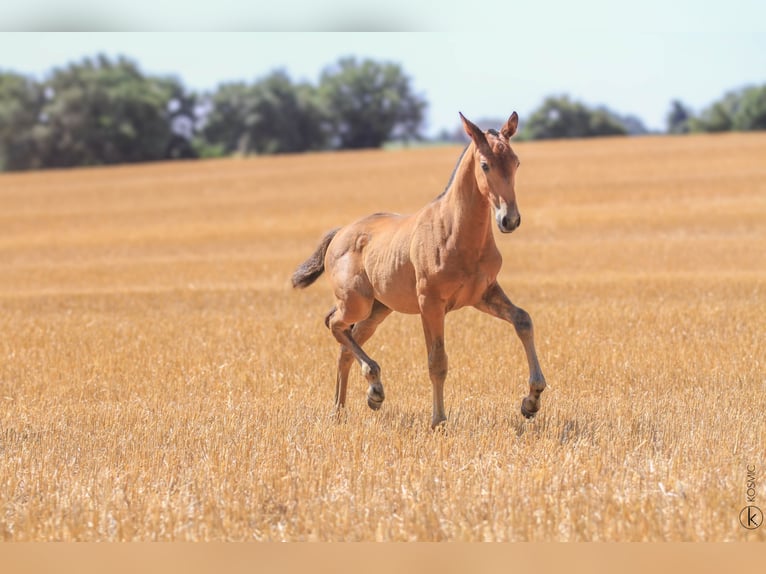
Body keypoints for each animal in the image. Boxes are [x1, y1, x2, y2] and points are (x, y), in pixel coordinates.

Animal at [292, 111, 548, 428]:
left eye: (516, 161)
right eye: (485, 165)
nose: (509, 220)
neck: (455, 232)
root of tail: (339, 233)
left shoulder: (483, 294)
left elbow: (523, 320)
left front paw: (531, 400)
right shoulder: (431, 304)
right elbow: (437, 361)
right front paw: (439, 420)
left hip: (378, 309)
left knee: (345, 342)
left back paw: (345, 407)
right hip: (357, 303)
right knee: (334, 323)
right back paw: (372, 387)